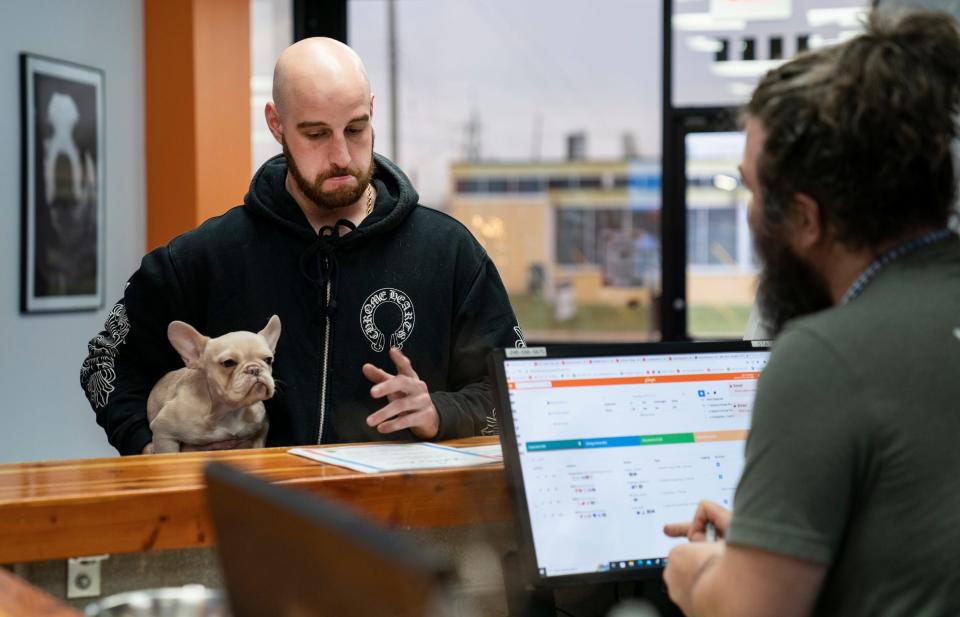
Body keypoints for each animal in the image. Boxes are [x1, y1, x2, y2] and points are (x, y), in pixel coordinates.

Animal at [146, 318, 280, 452]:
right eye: (228, 363)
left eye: (268, 360)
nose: (254, 369)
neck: (230, 411)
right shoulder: (163, 432)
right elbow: (169, 453)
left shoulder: (262, 427)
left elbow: (258, 446)